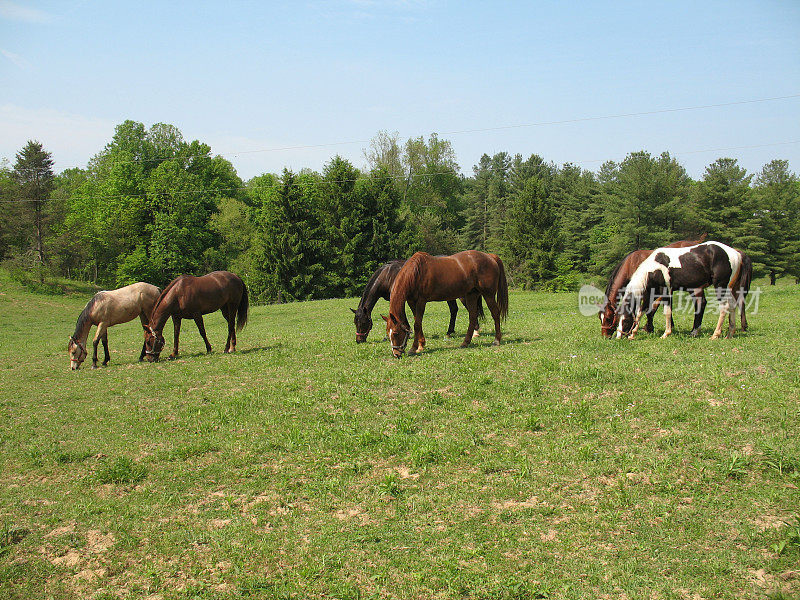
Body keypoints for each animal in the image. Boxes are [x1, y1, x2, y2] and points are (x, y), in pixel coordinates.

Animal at [352, 260, 482, 344]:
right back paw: (449, 332)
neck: (387, 276)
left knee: (471, 310)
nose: (359, 341)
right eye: (355, 322)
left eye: (363, 323)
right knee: (454, 309)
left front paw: (407, 332)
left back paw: (475, 331)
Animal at [616, 241, 748, 340]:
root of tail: (736, 253)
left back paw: (715, 334)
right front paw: (633, 334)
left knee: (724, 307)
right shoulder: (652, 293)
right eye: (617, 319)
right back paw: (729, 333)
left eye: (626, 320)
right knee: (732, 305)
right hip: (728, 288)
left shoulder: (666, 291)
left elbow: (667, 312)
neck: (654, 268)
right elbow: (641, 311)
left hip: (720, 286)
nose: (618, 337)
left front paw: (666, 333)